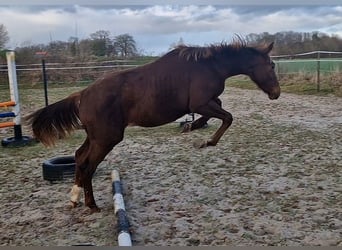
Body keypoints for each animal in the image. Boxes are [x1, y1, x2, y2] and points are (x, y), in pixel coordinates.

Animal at [26, 40, 278, 212]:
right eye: (272, 65)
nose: (276, 93)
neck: (210, 65)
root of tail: (81, 95)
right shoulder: (201, 103)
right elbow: (228, 117)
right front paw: (205, 140)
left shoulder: (206, 103)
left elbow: (221, 111)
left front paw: (193, 127)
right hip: (107, 139)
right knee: (88, 166)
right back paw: (91, 205)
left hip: (96, 137)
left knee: (79, 157)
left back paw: (74, 198)